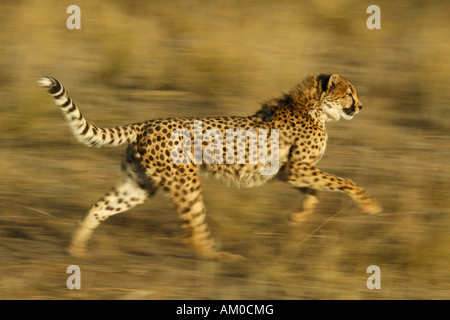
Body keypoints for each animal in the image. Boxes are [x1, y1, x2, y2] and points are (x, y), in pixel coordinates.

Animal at [38, 74, 382, 262]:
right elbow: (345, 181)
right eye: (349, 93)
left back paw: (76, 249)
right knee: (193, 232)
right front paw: (370, 206)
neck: (313, 109)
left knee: (98, 208)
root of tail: (148, 122)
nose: (361, 106)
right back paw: (220, 257)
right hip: (185, 181)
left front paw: (296, 219)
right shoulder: (299, 168)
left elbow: (314, 194)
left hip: (139, 185)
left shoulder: (290, 171)